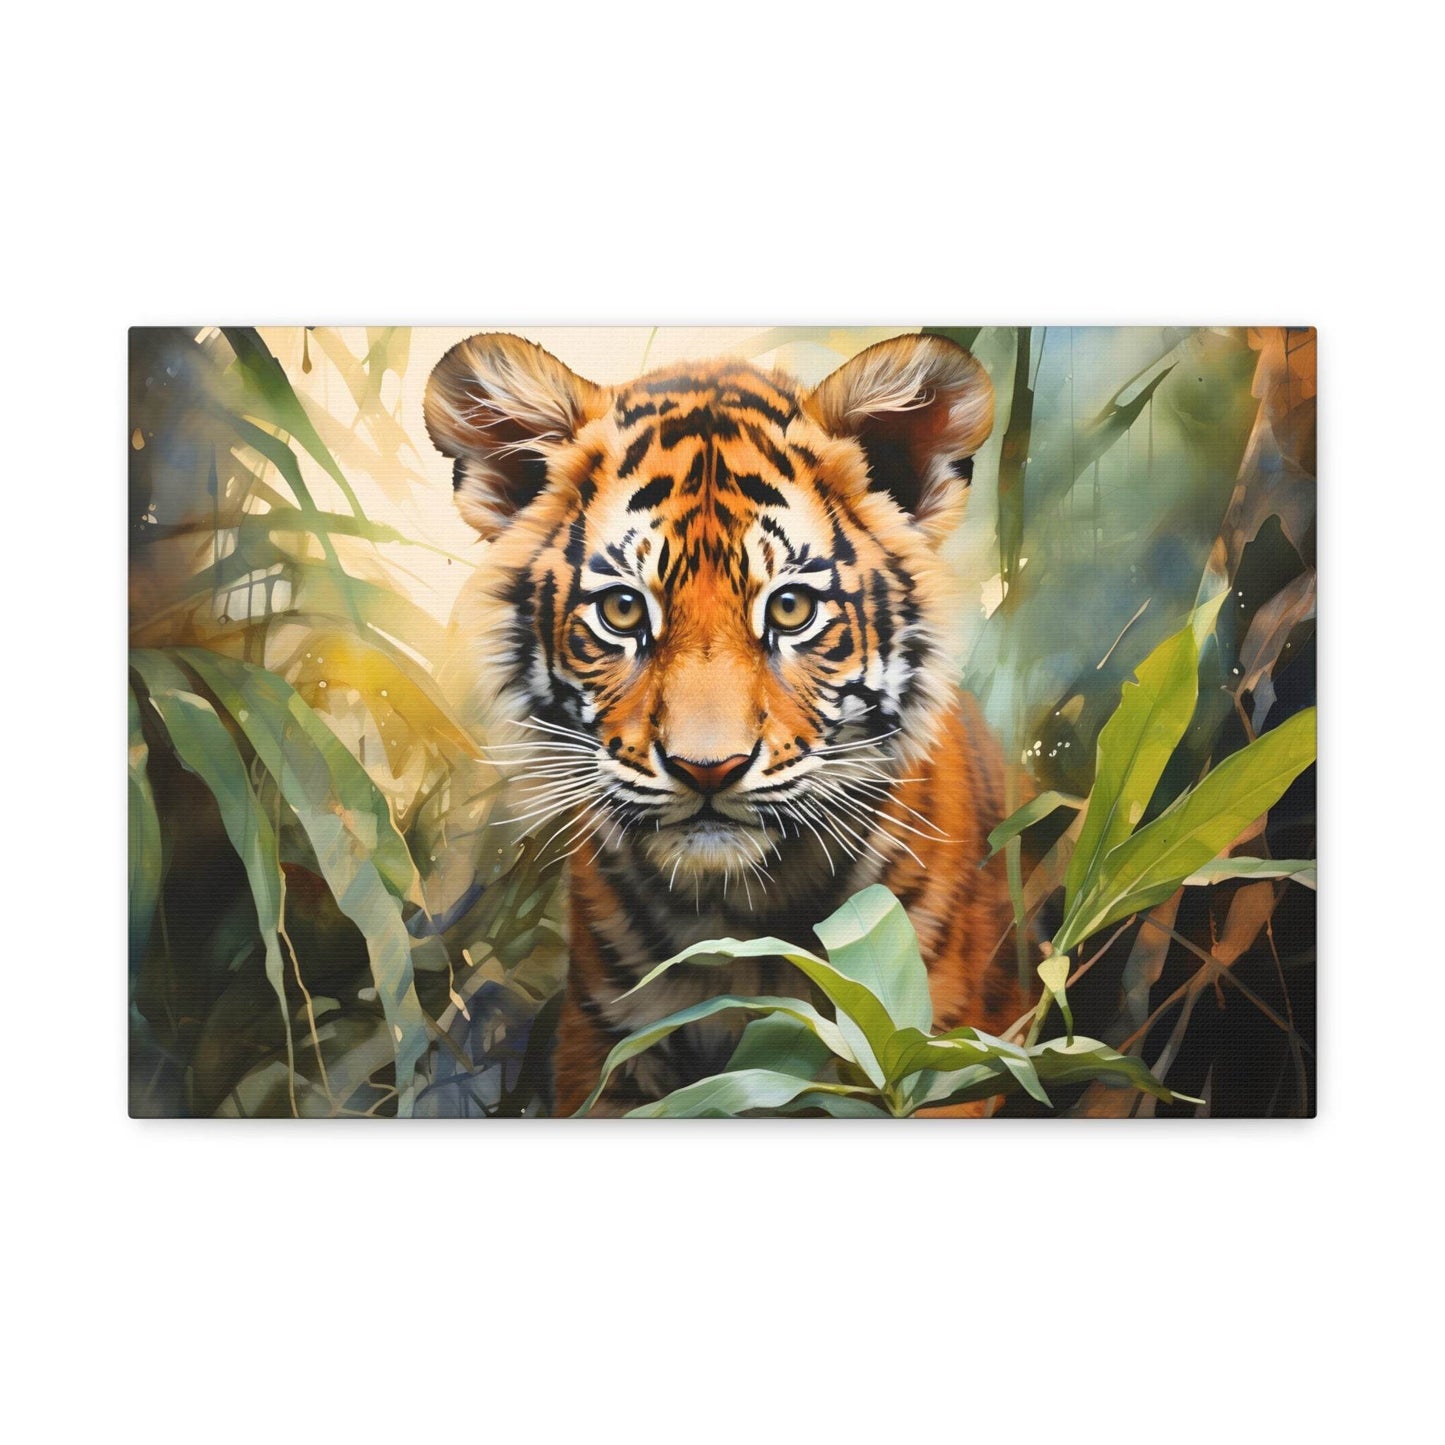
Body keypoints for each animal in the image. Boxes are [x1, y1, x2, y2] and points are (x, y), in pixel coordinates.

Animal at [424, 331, 1023, 1116]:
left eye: (791, 609)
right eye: (622, 610)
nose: (707, 769)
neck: (743, 920)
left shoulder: (941, 1054)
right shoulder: (604, 1050)